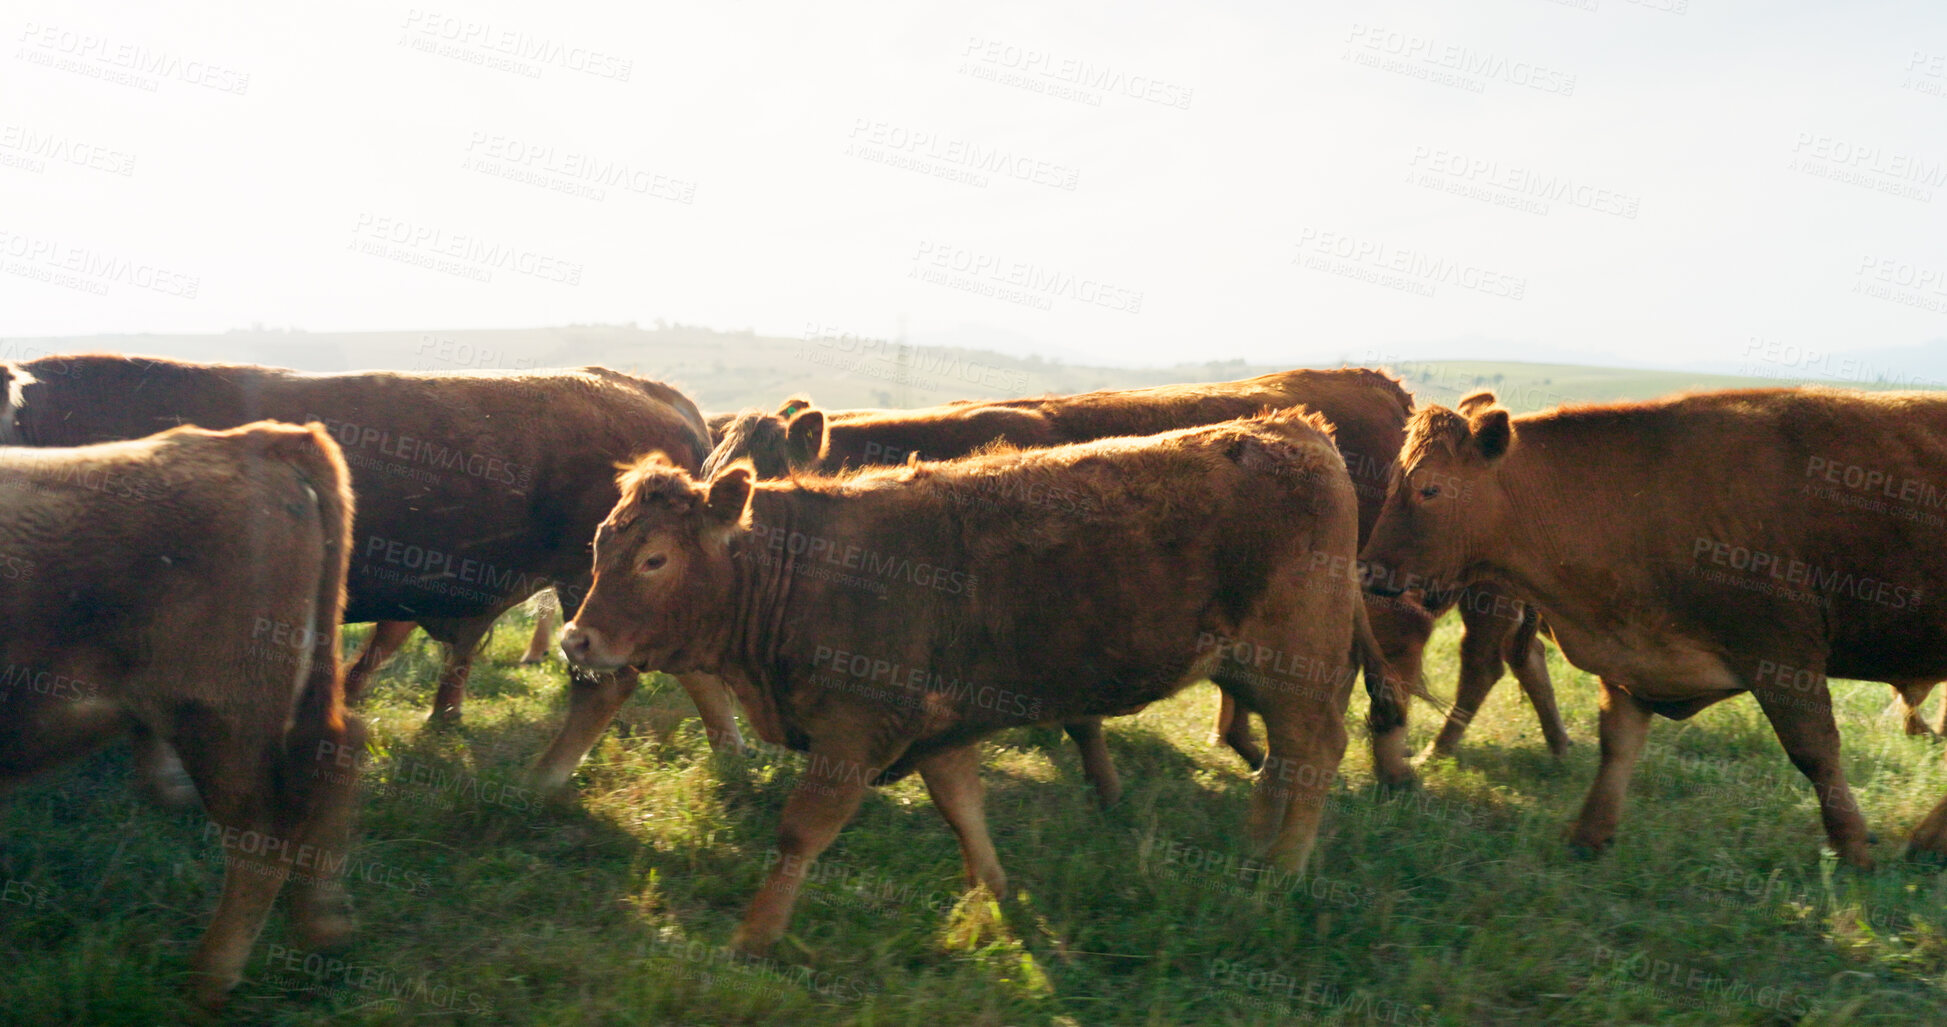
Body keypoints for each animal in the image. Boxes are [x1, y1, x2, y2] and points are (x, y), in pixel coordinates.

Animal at [0, 413, 364, 1005]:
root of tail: (262, 439)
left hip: (220, 721)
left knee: (264, 830)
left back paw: (208, 978)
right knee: (339, 754)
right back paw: (323, 925)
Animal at [560, 409, 1386, 954]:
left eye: (655, 559)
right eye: (601, 542)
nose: (576, 637)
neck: (806, 567)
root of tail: (1296, 430)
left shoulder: (855, 730)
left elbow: (801, 832)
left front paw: (753, 938)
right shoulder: (939, 726)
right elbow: (963, 807)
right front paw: (993, 891)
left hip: (1294, 668)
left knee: (1314, 752)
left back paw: (1280, 870)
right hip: (1255, 671)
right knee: (1281, 759)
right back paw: (1251, 846)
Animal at [1362, 387, 1947, 869]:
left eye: (1429, 489)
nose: (1367, 568)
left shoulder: (1782, 657)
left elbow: (1815, 751)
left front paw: (1852, 849)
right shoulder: (1629, 654)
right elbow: (1617, 745)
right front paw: (1588, 834)